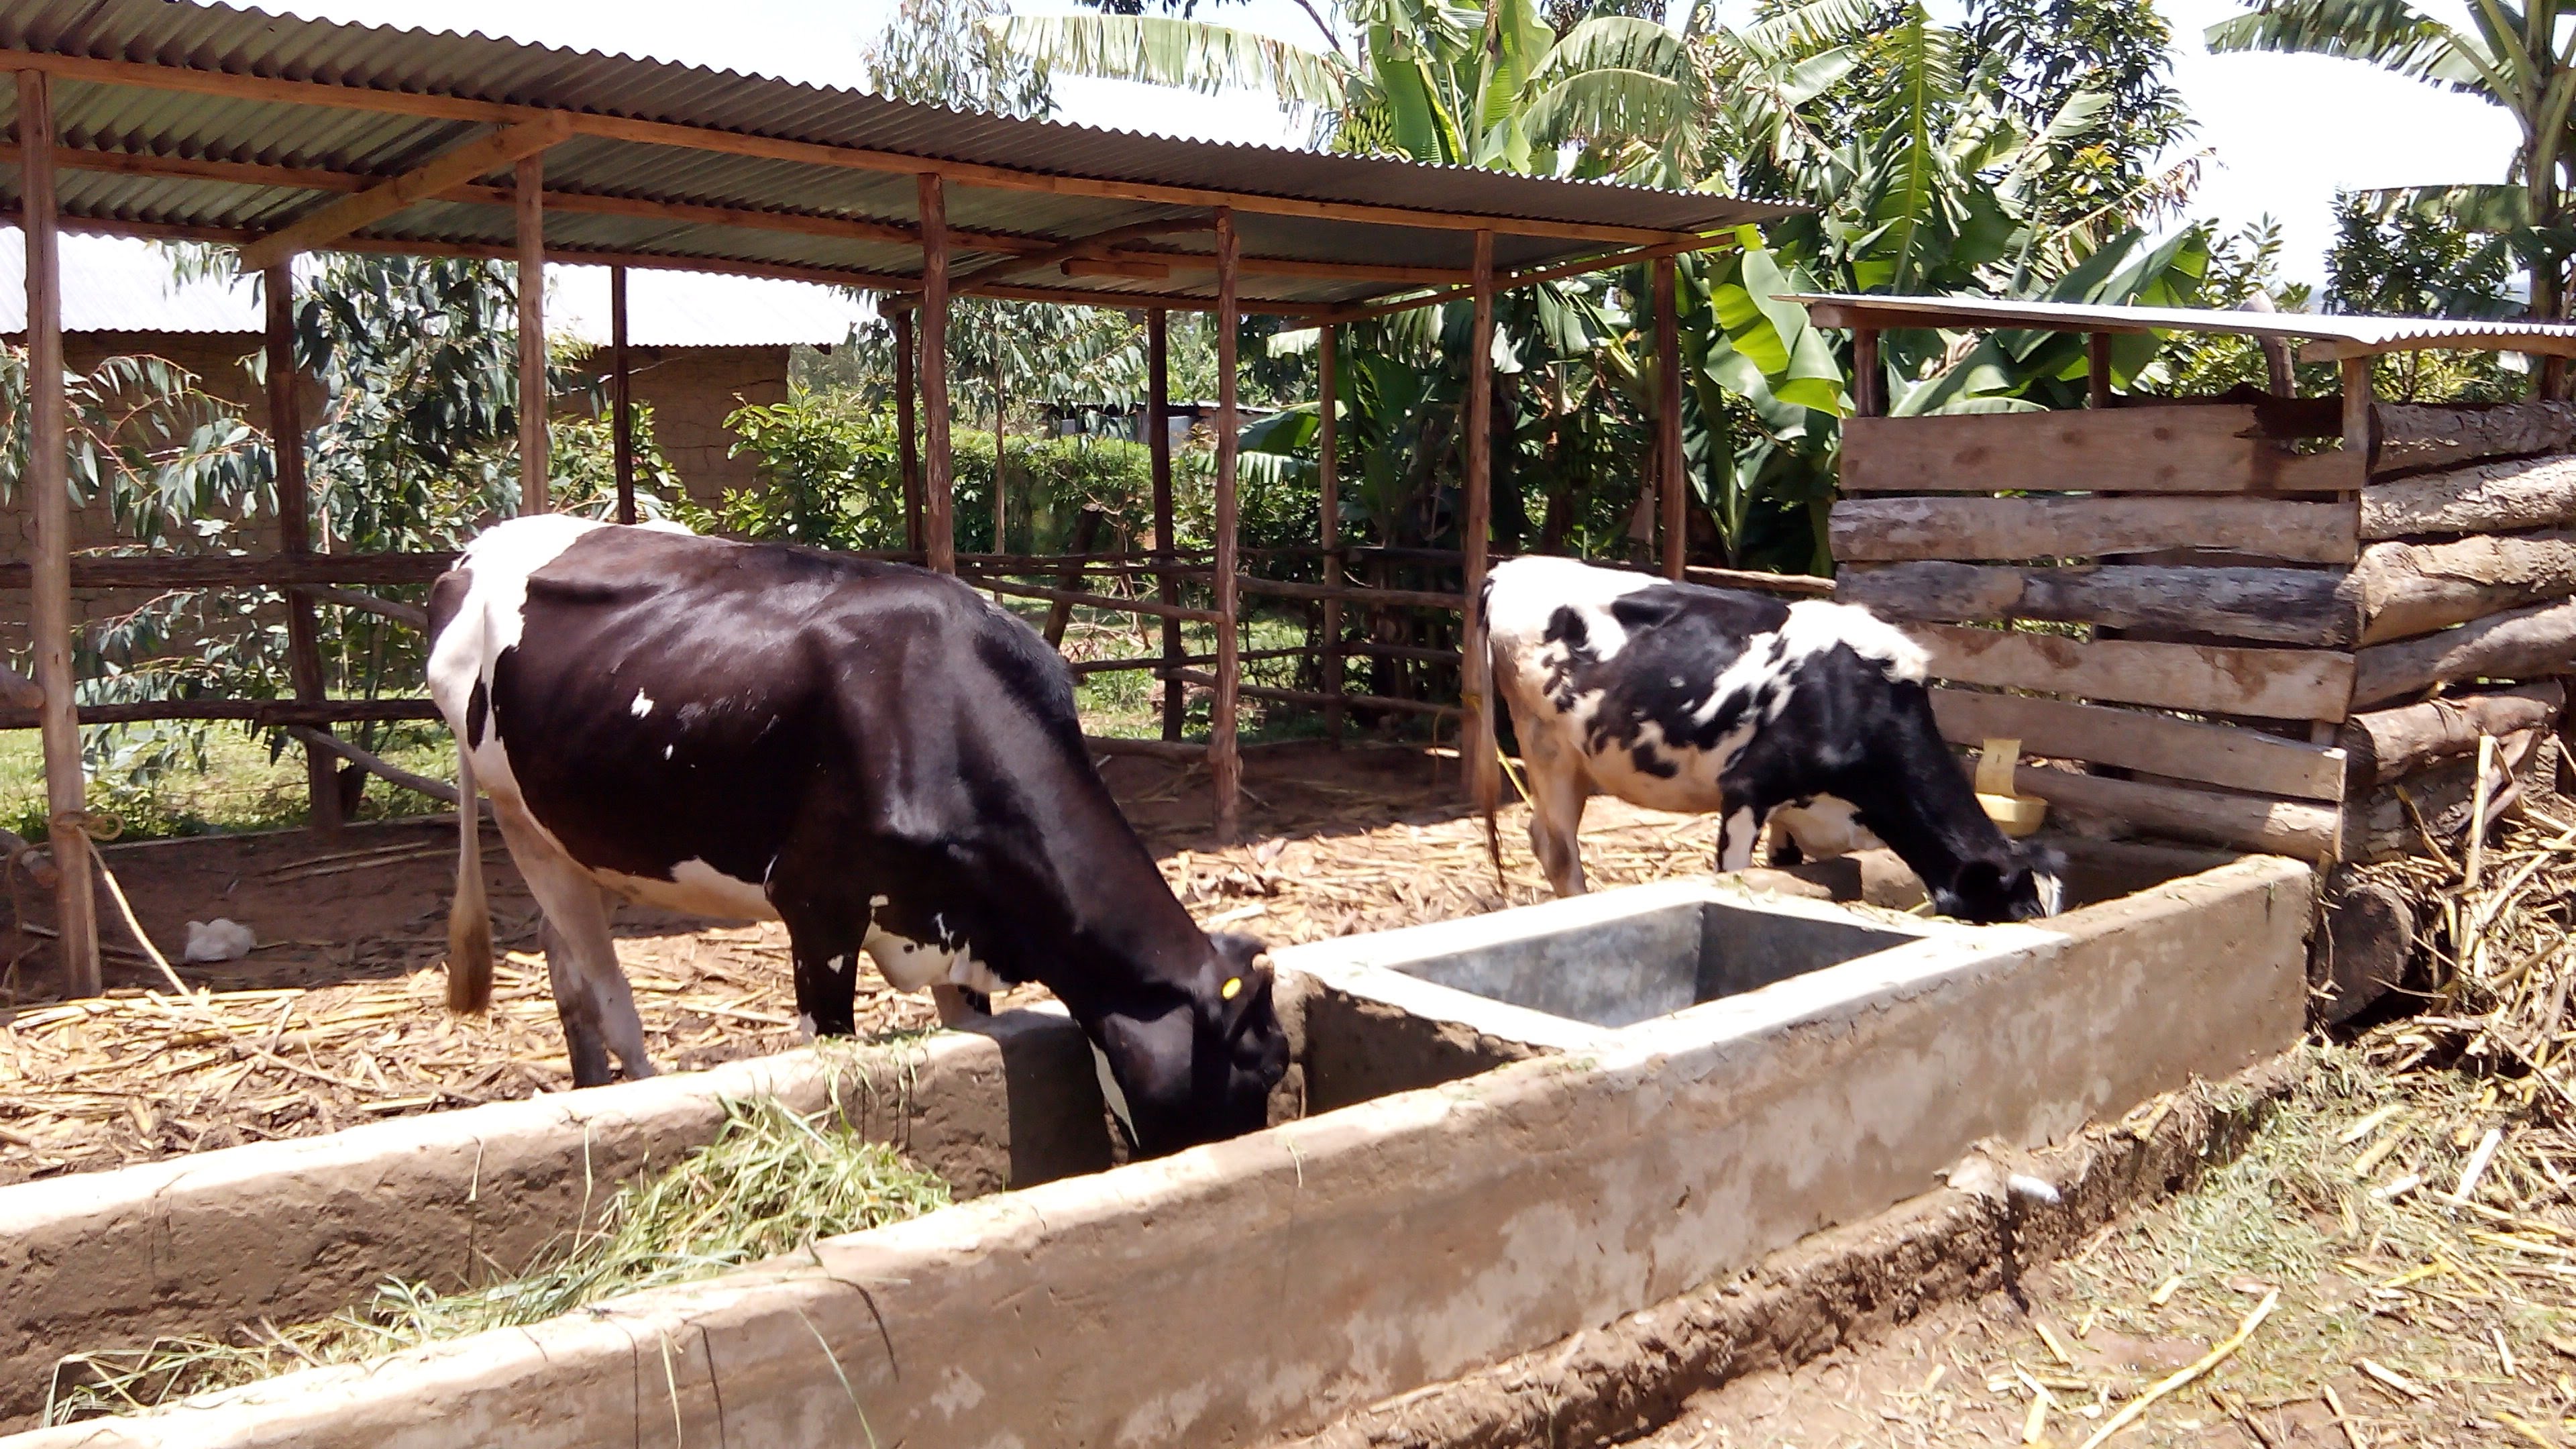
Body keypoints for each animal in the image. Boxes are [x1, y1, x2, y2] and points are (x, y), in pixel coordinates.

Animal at [435, 513, 1308, 1144]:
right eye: (1262, 1069)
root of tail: (477, 550)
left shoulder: (957, 923)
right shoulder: (818, 905)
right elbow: (831, 1048)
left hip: (578, 835)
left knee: (559, 951)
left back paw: (588, 1081)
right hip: (514, 812)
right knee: (605, 985)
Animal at [1483, 559, 2061, 918]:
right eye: (2017, 911)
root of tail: (1512, 567)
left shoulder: (1794, 814)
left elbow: (1785, 874)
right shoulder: (1746, 792)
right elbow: (1734, 877)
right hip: (1546, 746)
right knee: (1558, 848)